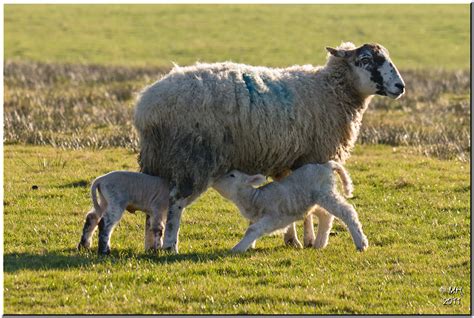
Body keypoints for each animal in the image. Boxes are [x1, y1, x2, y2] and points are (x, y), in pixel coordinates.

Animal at [213, 161, 368, 253]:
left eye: (232, 175)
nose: (215, 178)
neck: (255, 197)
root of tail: (328, 165)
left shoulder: (274, 217)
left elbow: (253, 229)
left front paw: (237, 249)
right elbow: (252, 227)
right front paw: (249, 245)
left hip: (324, 192)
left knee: (347, 212)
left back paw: (361, 243)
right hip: (311, 201)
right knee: (326, 215)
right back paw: (319, 243)